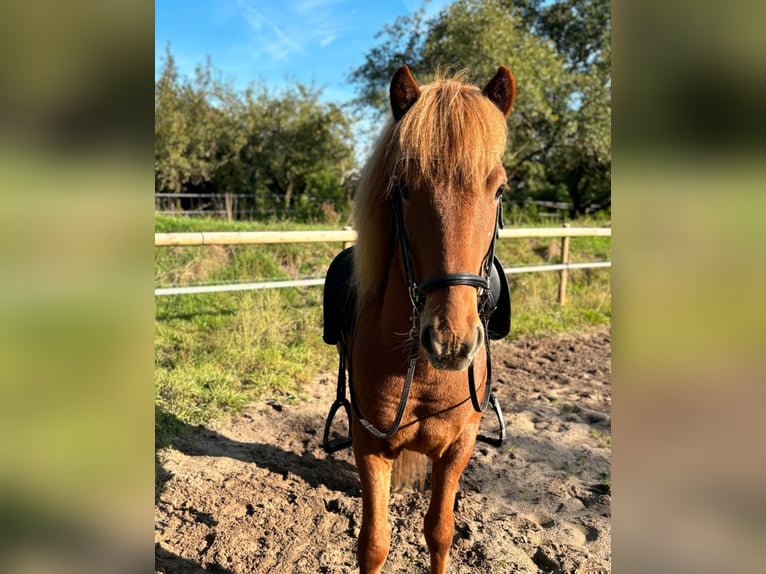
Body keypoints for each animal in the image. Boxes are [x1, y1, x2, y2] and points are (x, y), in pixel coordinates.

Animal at [329, 64, 515, 574]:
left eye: (499, 188)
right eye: (405, 188)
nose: (451, 340)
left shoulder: (459, 447)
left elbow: (440, 531)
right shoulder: (369, 443)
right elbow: (374, 542)